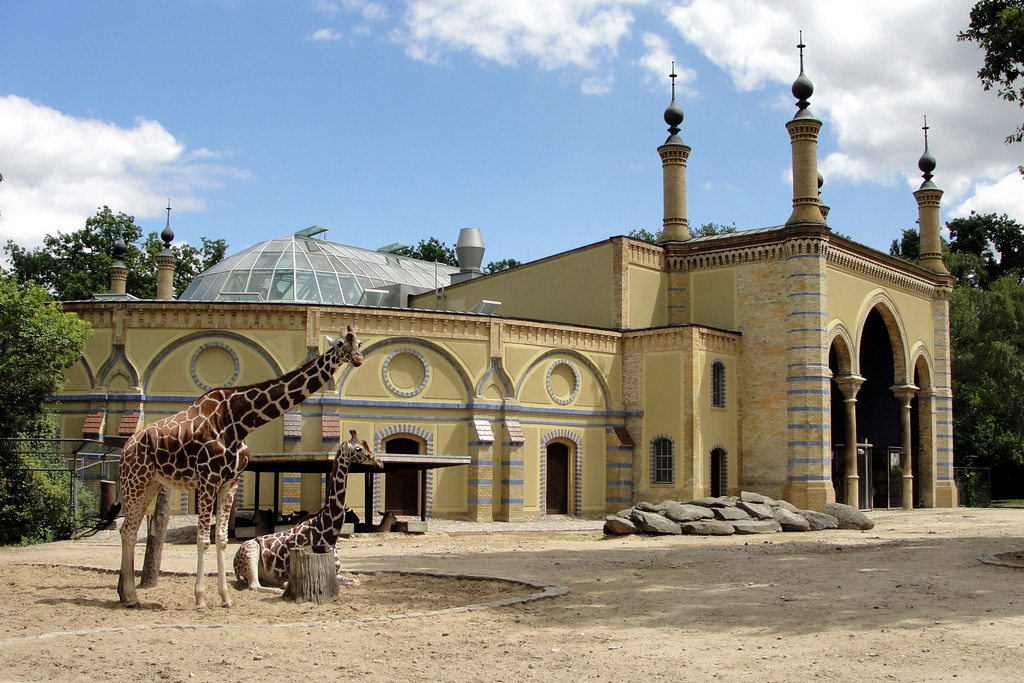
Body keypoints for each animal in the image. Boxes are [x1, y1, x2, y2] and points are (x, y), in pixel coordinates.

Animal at [117, 325, 364, 610]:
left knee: (129, 529)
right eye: (339, 344)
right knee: (127, 530)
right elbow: (204, 538)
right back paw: (131, 595)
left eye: (358, 342)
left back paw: (125, 594)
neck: (239, 420)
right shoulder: (207, 479)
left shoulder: (230, 480)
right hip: (134, 480)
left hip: (152, 484)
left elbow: (222, 538)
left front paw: (225, 598)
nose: (358, 358)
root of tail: (127, 446)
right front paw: (201, 599)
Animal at [232, 430, 385, 589]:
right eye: (358, 449)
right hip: (251, 550)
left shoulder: (335, 572)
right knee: (254, 585)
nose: (379, 462)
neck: (328, 535)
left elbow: (355, 581)